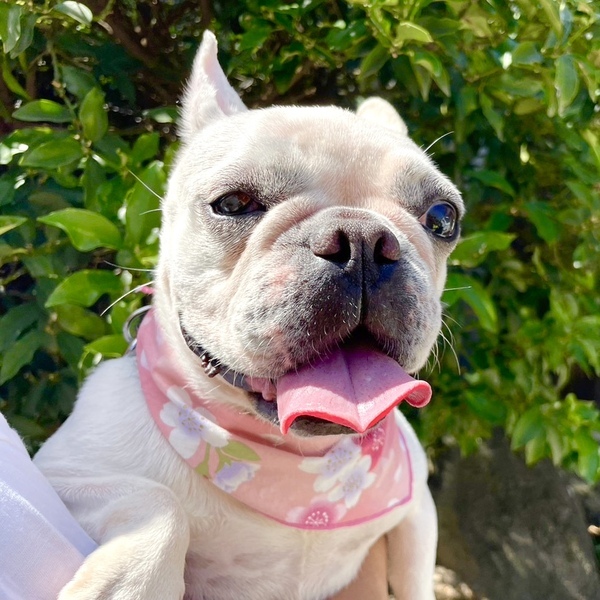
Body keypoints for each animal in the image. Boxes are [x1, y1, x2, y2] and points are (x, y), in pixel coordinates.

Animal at [34, 31, 464, 600]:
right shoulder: (61, 473)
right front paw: (130, 585)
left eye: (442, 218)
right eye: (233, 203)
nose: (364, 240)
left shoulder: (419, 511)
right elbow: (160, 504)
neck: (298, 464)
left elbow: (415, 578)